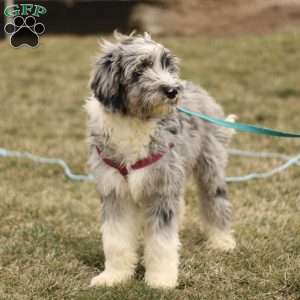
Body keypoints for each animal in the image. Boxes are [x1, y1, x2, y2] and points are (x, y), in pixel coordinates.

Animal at [85, 32, 237, 288]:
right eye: (139, 69)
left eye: (166, 65)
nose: (173, 90)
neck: (135, 121)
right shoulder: (115, 192)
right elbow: (116, 239)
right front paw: (114, 276)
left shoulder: (161, 191)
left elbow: (161, 241)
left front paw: (160, 280)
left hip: (210, 166)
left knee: (216, 201)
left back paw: (222, 241)